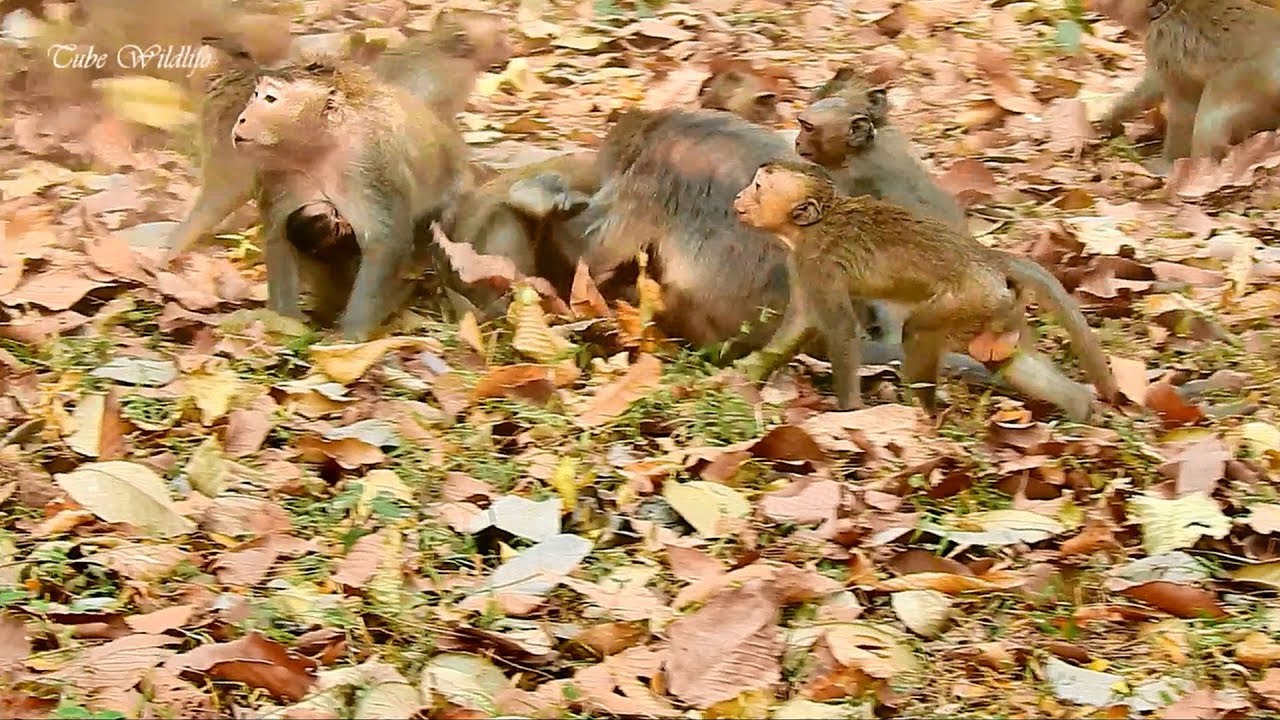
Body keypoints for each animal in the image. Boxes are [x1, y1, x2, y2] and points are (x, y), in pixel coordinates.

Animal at [230, 59, 469, 341]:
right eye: (256, 95)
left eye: (270, 98)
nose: (242, 118)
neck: (320, 146)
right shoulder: (275, 171)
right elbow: (279, 239)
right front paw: (285, 320)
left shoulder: (368, 162)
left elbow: (385, 242)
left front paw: (351, 332)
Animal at [731, 160, 1119, 421]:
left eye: (758, 188)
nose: (739, 196)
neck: (809, 227)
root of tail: (985, 256)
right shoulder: (800, 264)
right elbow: (801, 323)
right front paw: (744, 375)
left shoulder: (815, 263)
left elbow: (840, 330)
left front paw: (849, 411)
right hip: (998, 305)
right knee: (1001, 358)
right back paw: (1080, 408)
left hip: (969, 297)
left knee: (917, 331)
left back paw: (925, 414)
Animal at [1096, 0, 1280, 162]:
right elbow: (1153, 88)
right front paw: (1109, 117)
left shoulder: (1164, 44)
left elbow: (1184, 108)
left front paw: (1167, 163)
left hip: (1250, 79)